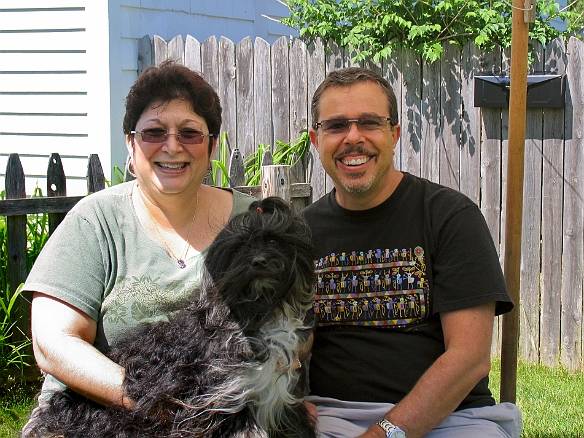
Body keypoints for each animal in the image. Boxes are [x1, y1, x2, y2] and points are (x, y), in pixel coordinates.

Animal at [27, 198, 318, 438]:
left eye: (274, 240)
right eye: (239, 247)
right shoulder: (218, 403)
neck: (258, 314)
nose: (259, 261)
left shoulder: (279, 404)